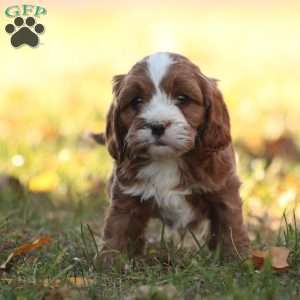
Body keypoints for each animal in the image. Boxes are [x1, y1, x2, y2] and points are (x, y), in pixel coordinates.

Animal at [99, 52, 248, 258]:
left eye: (182, 98)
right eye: (137, 101)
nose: (157, 125)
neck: (168, 160)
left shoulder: (224, 190)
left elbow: (230, 227)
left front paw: (235, 259)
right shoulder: (125, 196)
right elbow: (117, 230)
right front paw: (110, 261)